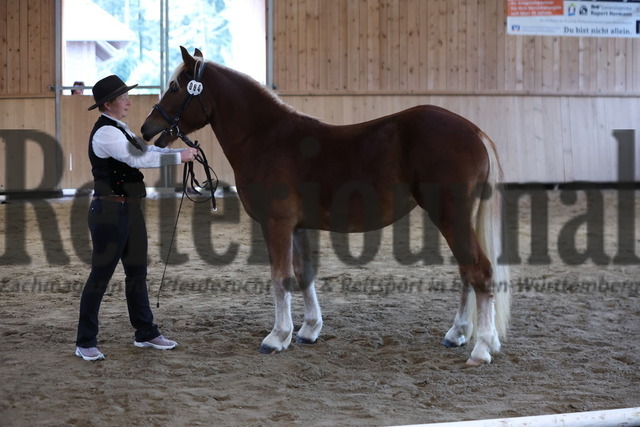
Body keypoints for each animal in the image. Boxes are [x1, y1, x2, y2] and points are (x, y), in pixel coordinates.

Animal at [141, 47, 510, 368]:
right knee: (466, 272)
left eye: (174, 87)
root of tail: (474, 132)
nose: (147, 128)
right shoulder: (297, 227)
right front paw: (308, 330)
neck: (266, 138)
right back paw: (459, 334)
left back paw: (481, 348)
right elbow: (304, 275)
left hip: (451, 217)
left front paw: (277, 337)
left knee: (480, 272)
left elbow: (281, 278)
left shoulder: (275, 225)